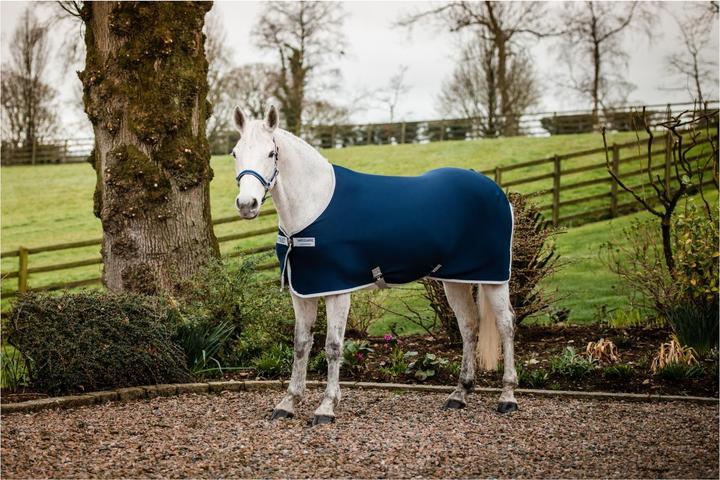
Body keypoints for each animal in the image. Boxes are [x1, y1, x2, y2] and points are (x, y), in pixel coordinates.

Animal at [231, 105, 518, 425]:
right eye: (235, 152)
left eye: (271, 153)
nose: (247, 204)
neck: (313, 205)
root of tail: (494, 190)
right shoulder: (302, 291)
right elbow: (301, 343)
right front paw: (288, 402)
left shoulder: (337, 290)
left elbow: (333, 346)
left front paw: (326, 407)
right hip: (455, 280)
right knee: (468, 325)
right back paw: (460, 393)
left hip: (495, 278)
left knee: (506, 324)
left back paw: (507, 396)